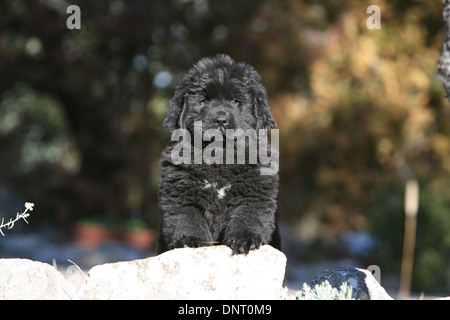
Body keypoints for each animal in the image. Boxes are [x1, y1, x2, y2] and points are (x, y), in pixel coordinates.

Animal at [156, 55, 280, 255]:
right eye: (204, 101)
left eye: (235, 101)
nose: (221, 119)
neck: (219, 155)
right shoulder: (180, 192)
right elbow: (188, 219)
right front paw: (189, 240)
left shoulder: (254, 193)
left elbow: (247, 217)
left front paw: (245, 239)